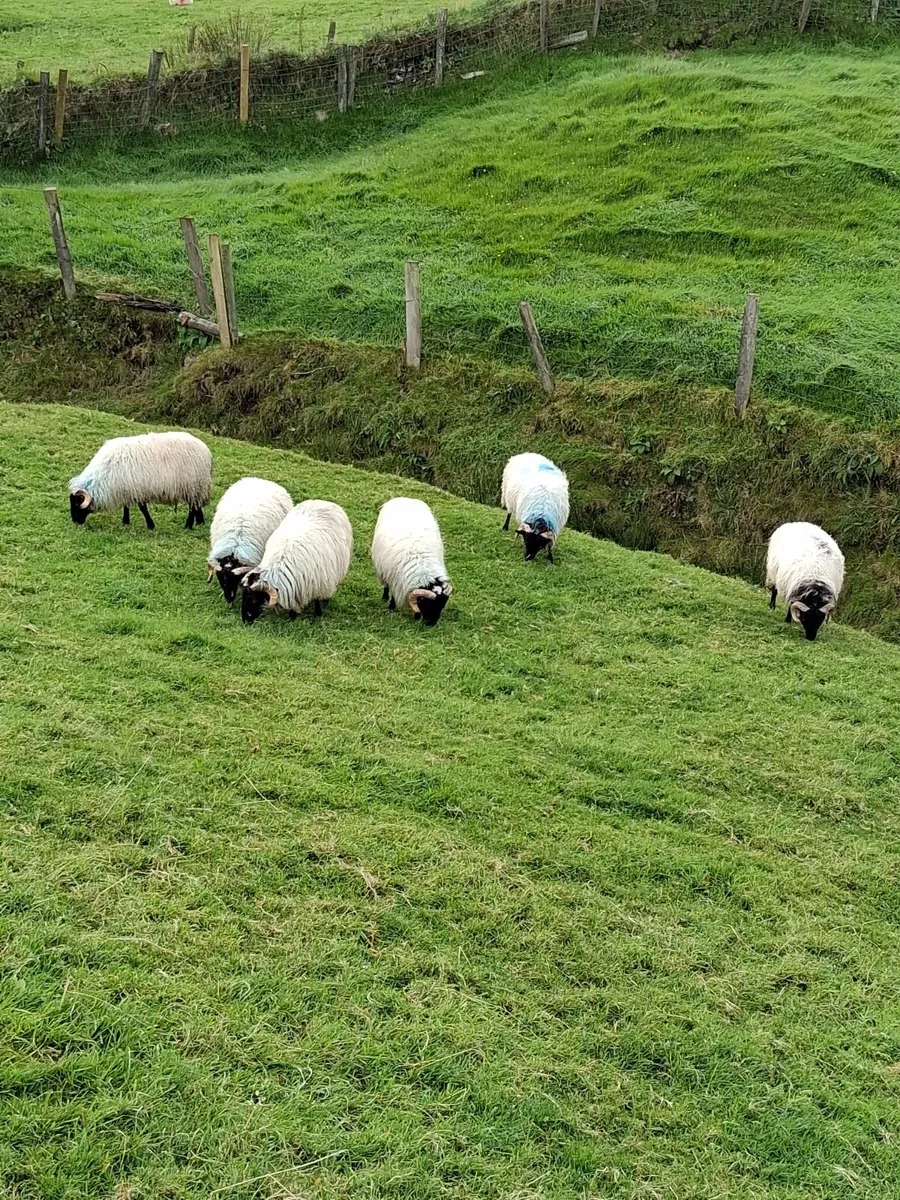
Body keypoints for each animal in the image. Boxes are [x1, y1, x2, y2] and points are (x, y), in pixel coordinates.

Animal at [69, 431, 212, 531]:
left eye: (76, 504)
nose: (75, 522)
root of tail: (205, 449)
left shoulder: (138, 490)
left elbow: (143, 508)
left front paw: (150, 525)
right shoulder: (126, 488)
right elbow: (126, 506)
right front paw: (125, 522)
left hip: (193, 485)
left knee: (192, 507)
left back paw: (188, 526)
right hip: (197, 487)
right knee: (197, 505)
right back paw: (200, 522)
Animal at [370, 497, 452, 627]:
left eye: (442, 605)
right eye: (427, 604)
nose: (431, 624)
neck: (424, 567)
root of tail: (405, 498)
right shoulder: (396, 580)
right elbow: (394, 596)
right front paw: (391, 608)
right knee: (386, 586)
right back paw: (384, 597)